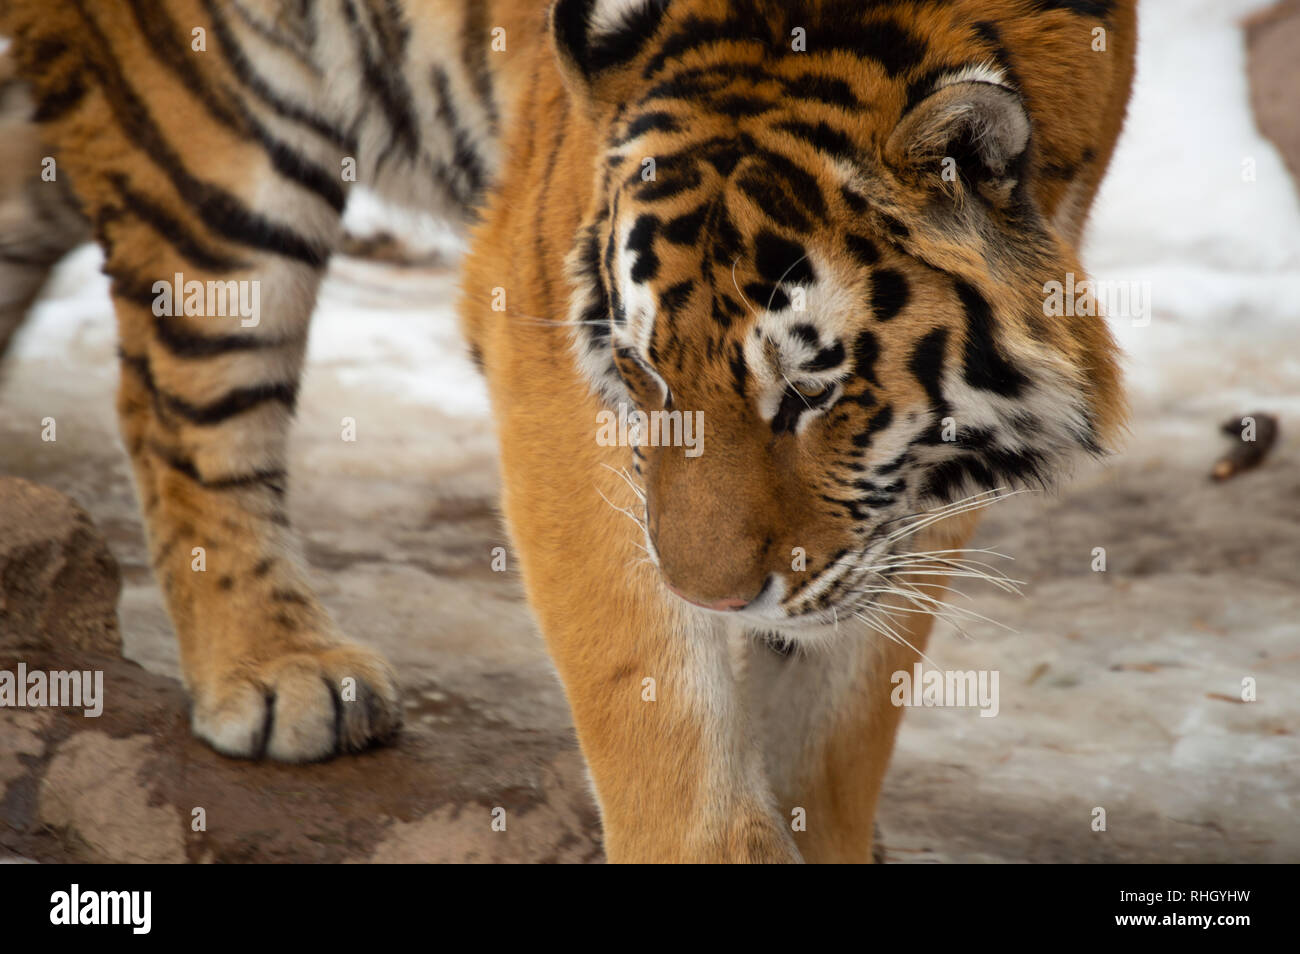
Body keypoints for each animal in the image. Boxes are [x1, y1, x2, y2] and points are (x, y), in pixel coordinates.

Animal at [0, 0, 1133, 863]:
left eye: (812, 390)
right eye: (642, 372)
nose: (714, 597)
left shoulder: (906, 496)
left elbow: (840, 710)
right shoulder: (542, 323)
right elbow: (651, 689)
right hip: (214, 150)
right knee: (185, 410)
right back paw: (280, 668)